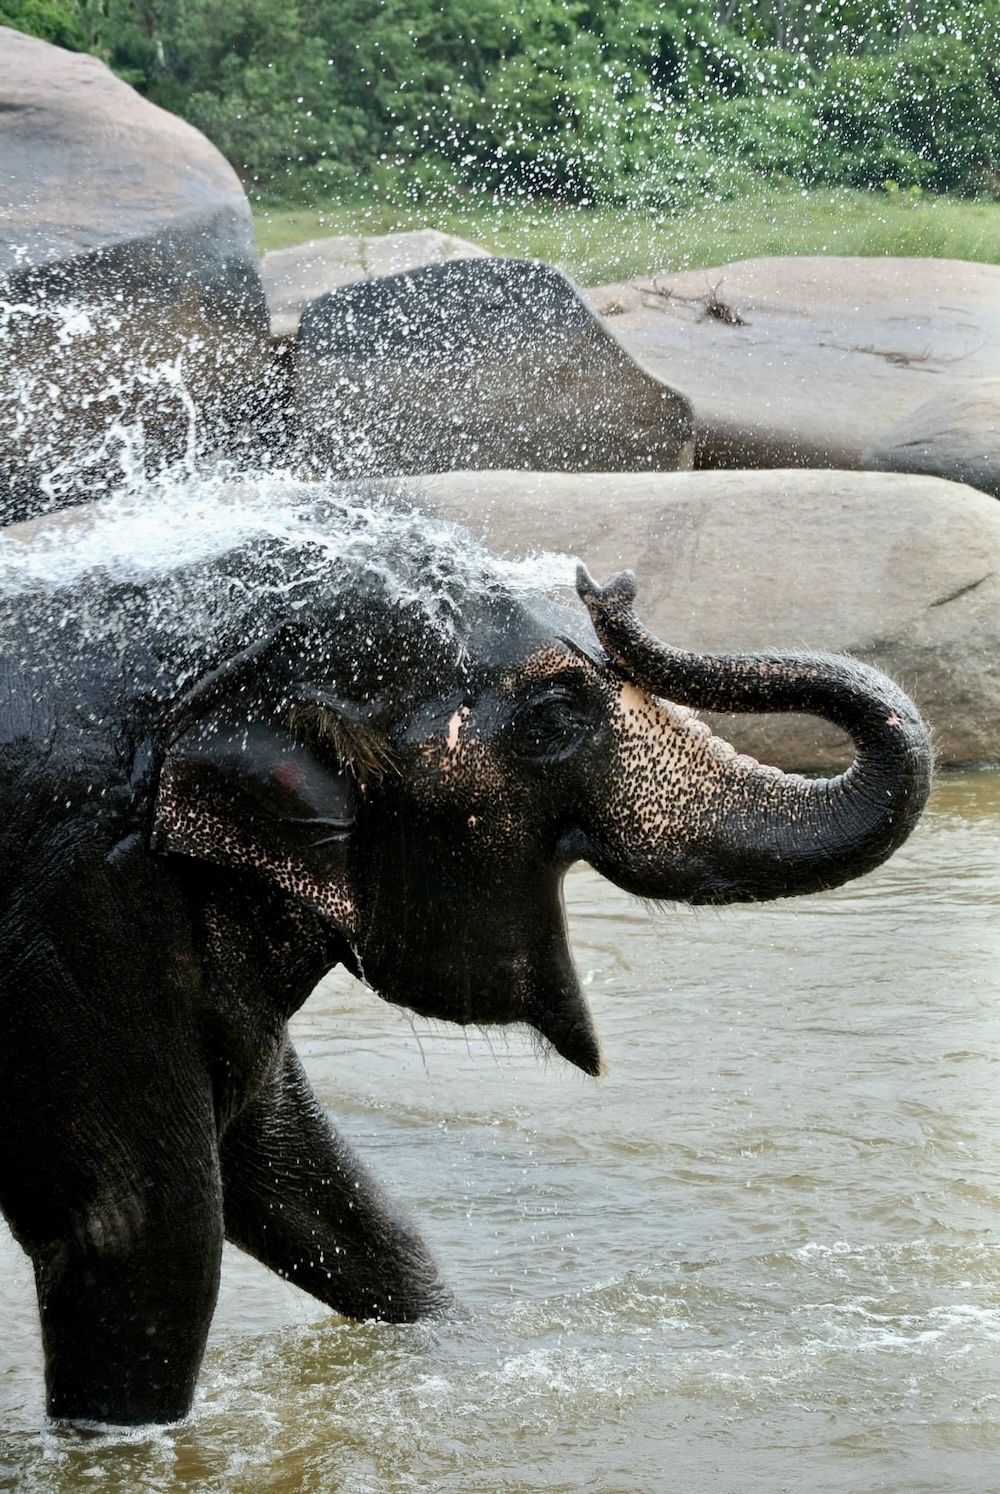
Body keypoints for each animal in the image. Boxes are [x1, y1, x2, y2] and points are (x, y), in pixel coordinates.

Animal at [0, 484, 932, 1428]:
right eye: (555, 717)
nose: (609, 586)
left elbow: (296, 1167)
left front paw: (463, 1349)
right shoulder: (76, 897)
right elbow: (143, 1224)